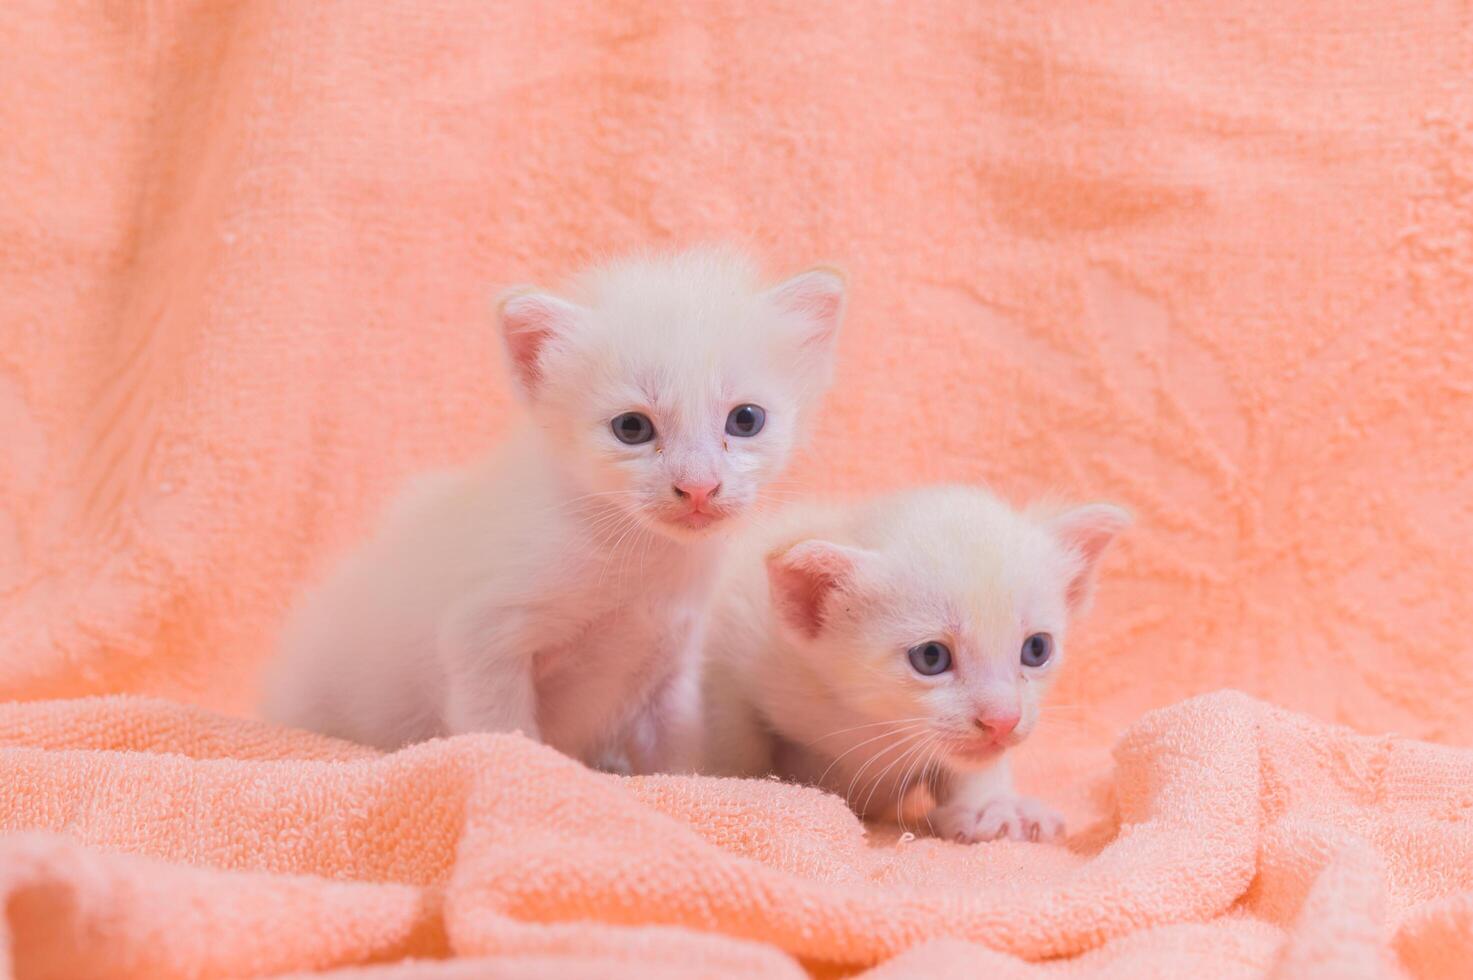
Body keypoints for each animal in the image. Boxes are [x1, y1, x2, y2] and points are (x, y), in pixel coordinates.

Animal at [259, 246, 848, 772]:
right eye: (631, 428)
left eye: (745, 420)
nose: (699, 487)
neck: (639, 558)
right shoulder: (483, 638)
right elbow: (503, 729)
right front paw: (527, 773)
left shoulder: (671, 662)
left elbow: (677, 754)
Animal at [701, 486, 1125, 842]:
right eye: (931, 657)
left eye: (1036, 649)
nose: (1002, 721)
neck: (867, 722)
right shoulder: (730, 636)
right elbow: (732, 729)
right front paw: (734, 787)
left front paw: (990, 806)